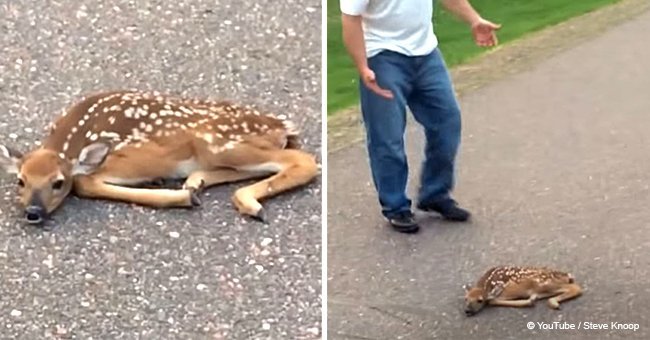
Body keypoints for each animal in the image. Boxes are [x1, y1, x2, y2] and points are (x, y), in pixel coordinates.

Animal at [0, 90, 316, 226]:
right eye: (20, 181)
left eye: (58, 183)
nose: (33, 211)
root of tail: (281, 126)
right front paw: (185, 192)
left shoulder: (129, 159)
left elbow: (83, 183)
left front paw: (180, 197)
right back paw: (196, 183)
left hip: (219, 143)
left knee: (304, 160)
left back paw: (248, 204)